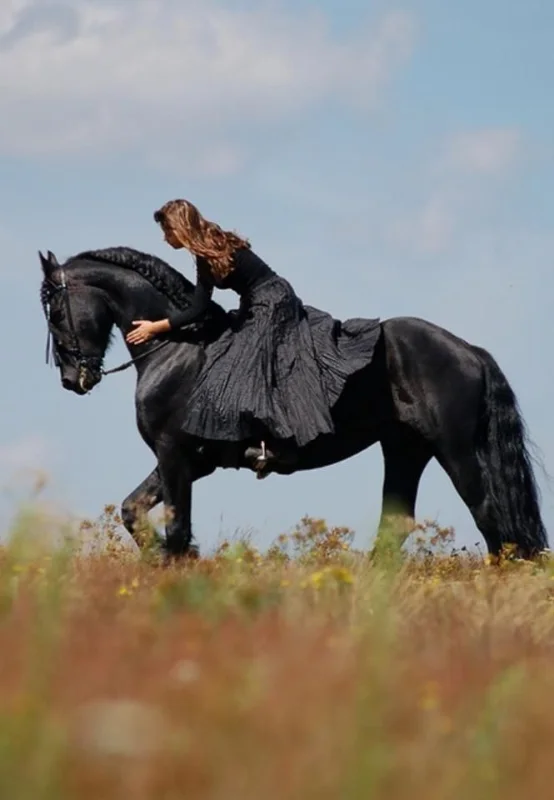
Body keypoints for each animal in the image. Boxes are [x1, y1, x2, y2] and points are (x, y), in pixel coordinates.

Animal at [38, 246, 548, 560]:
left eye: (55, 311)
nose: (71, 380)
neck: (179, 348)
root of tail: (469, 351)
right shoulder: (190, 462)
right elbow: (133, 511)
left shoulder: (174, 455)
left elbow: (177, 530)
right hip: (405, 449)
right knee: (397, 526)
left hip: (454, 451)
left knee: (491, 518)